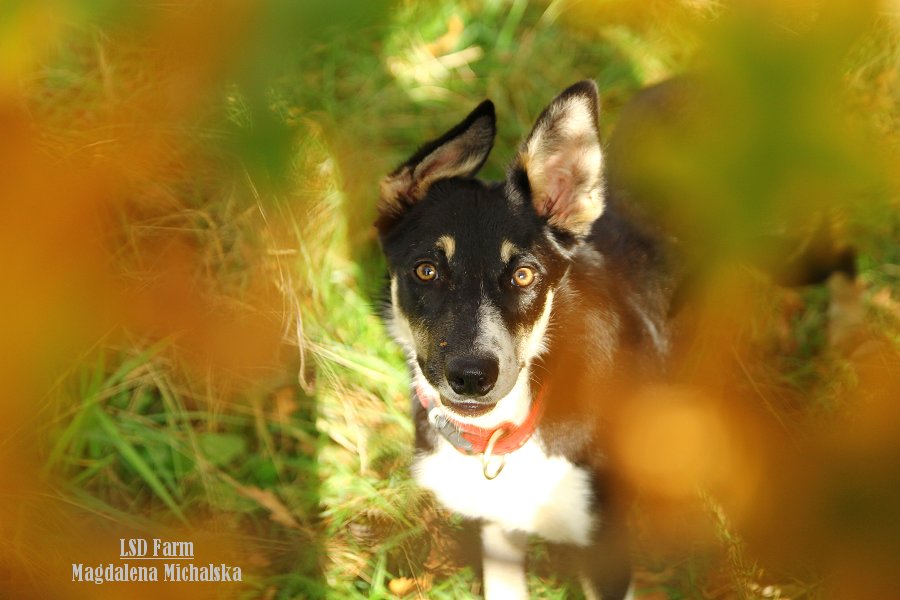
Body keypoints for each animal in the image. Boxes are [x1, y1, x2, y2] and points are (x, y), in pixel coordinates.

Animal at [374, 80, 673, 599]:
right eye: (426, 270)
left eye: (524, 275)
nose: (472, 377)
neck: (504, 435)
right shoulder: (496, 527)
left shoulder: (606, 553)